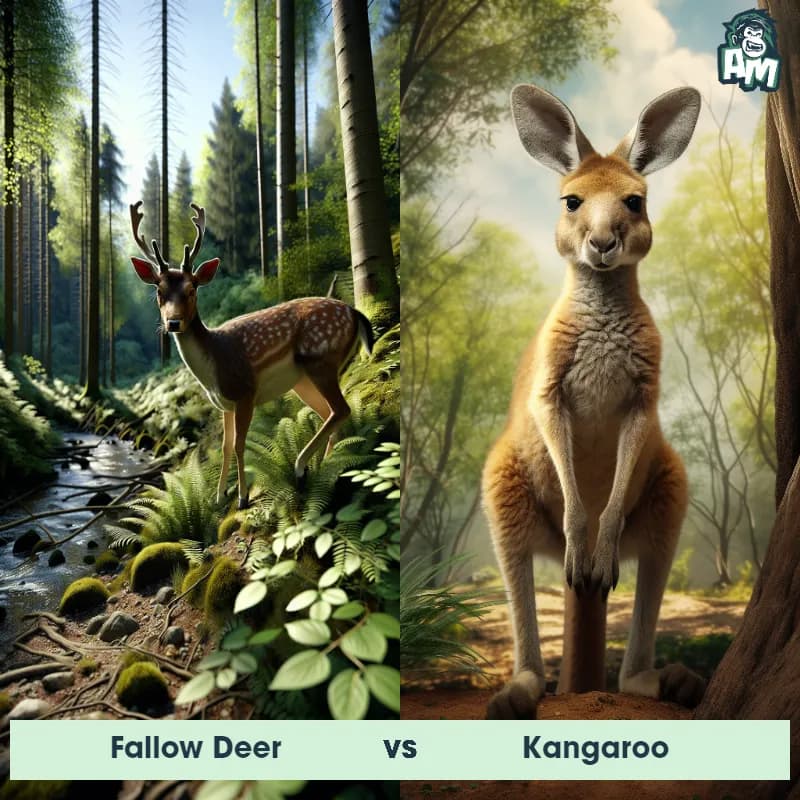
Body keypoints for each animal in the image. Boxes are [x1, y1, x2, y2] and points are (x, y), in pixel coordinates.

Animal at [129, 201, 373, 510]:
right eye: (158, 291)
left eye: (192, 288)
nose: (173, 322)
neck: (213, 368)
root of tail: (356, 313)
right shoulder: (225, 405)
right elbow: (224, 446)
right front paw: (218, 498)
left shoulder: (245, 391)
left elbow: (239, 444)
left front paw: (242, 498)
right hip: (303, 380)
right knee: (329, 413)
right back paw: (326, 464)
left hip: (322, 360)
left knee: (341, 409)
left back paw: (301, 467)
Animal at [482, 85, 707, 719]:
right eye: (571, 201)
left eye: (634, 201)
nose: (602, 243)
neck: (602, 299)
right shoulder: (548, 388)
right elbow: (557, 441)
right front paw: (583, 527)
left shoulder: (643, 398)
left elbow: (623, 460)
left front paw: (599, 541)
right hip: (504, 487)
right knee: (523, 594)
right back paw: (518, 689)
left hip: (667, 493)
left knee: (645, 590)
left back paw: (664, 679)